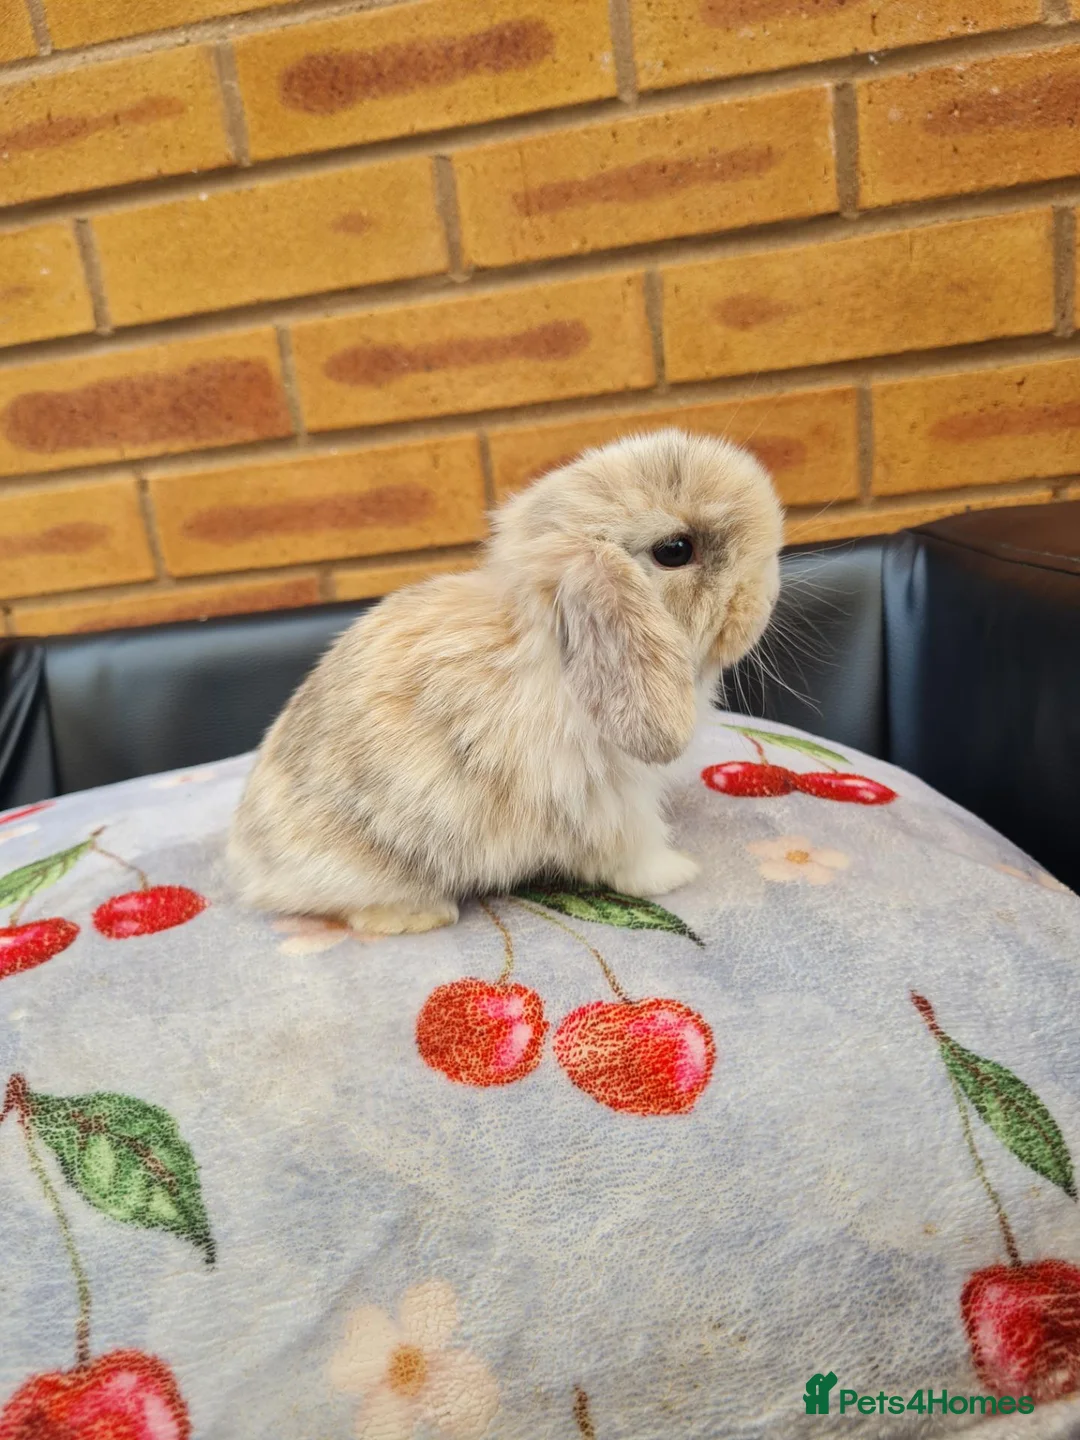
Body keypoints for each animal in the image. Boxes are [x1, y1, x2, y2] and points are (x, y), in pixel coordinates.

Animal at [227, 428, 783, 936]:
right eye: (675, 550)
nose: (765, 599)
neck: (554, 647)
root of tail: (250, 864)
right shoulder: (610, 802)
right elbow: (633, 853)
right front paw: (676, 873)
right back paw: (423, 916)